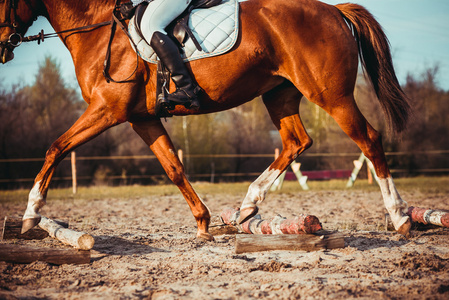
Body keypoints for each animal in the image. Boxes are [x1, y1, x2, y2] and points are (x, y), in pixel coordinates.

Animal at [0, 0, 412, 240]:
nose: (3, 49)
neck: (98, 30)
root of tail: (333, 9)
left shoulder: (106, 110)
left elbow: (55, 148)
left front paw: (31, 215)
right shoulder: (141, 119)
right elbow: (174, 168)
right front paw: (203, 223)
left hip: (331, 95)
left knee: (369, 139)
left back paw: (400, 217)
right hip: (280, 93)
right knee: (296, 142)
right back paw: (246, 207)